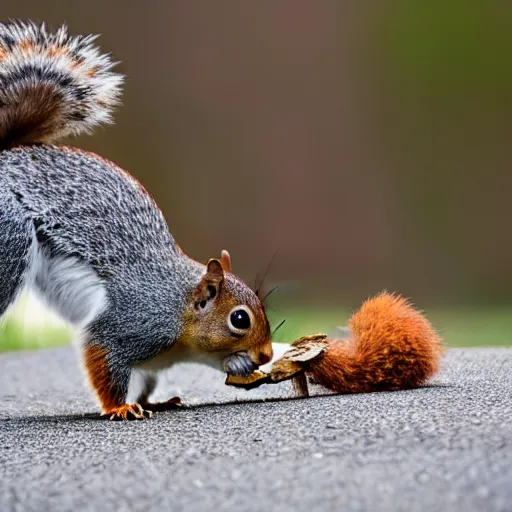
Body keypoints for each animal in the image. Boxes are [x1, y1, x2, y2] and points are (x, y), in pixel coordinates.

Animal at [0, 21, 274, 420]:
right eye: (240, 319)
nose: (266, 355)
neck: (181, 309)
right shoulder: (137, 323)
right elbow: (103, 354)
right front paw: (119, 408)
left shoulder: (152, 362)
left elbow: (145, 381)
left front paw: (153, 401)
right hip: (10, 236)